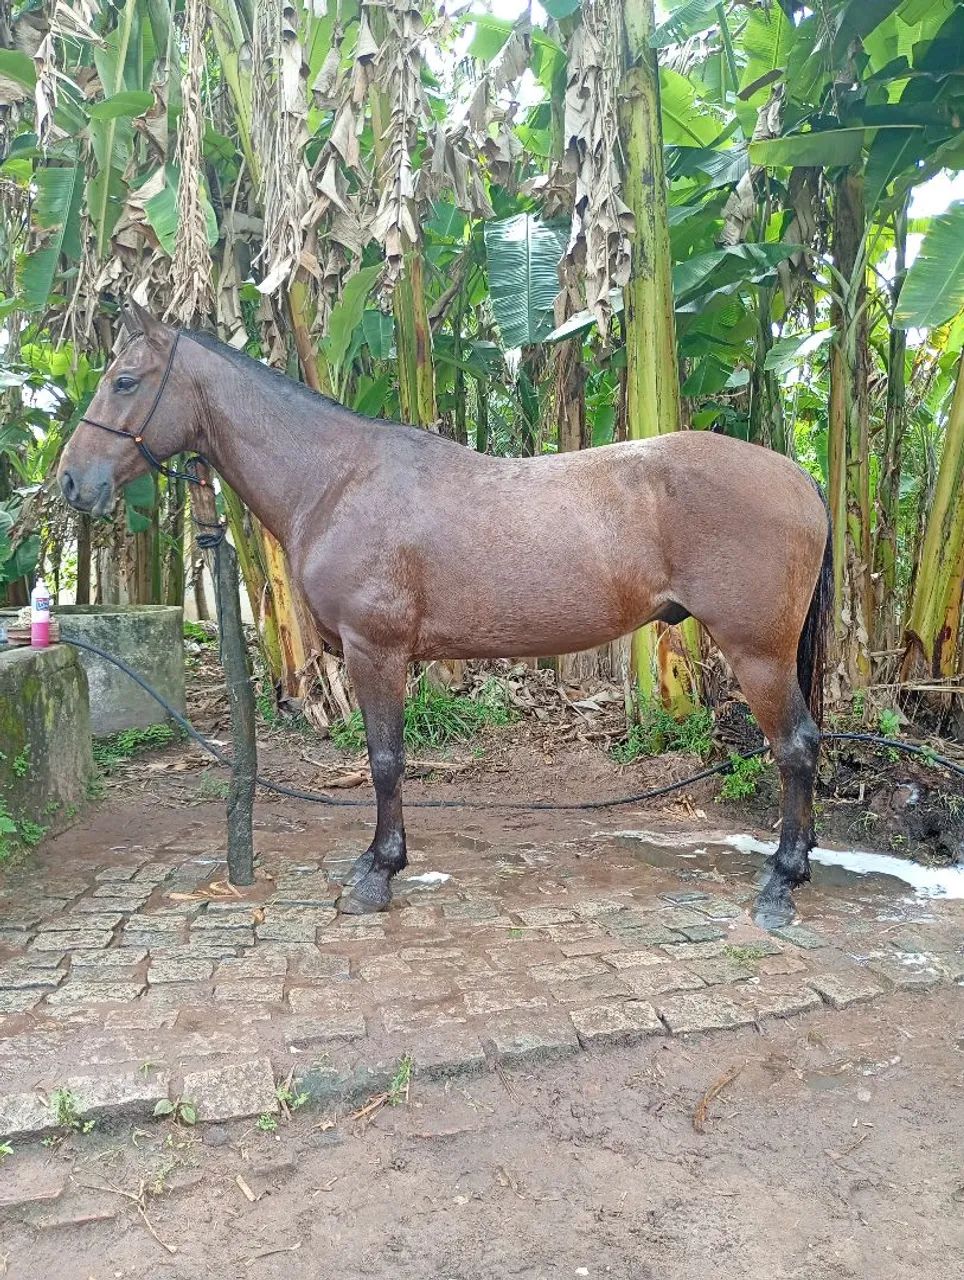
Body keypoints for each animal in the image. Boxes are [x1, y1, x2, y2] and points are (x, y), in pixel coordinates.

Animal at [58, 301, 832, 926]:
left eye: (125, 380)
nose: (71, 481)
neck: (336, 480)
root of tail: (798, 478)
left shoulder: (376, 651)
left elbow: (384, 760)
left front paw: (378, 873)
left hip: (757, 653)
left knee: (795, 747)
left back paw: (780, 883)